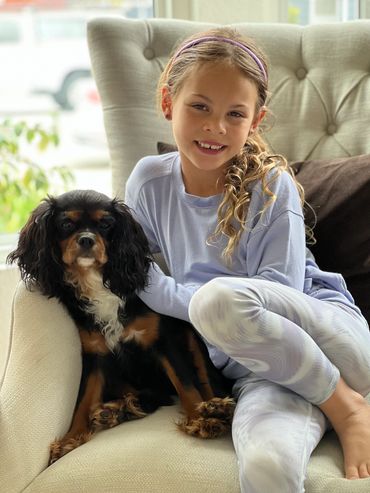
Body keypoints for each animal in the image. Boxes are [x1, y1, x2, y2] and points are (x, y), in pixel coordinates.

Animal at [7, 188, 234, 462]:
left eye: (105, 224)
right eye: (66, 224)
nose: (86, 240)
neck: (97, 282)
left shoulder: (164, 342)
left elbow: (186, 384)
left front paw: (201, 419)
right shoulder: (95, 354)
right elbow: (83, 399)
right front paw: (71, 439)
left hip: (192, 338)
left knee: (206, 381)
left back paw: (217, 407)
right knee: (154, 396)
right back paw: (118, 410)